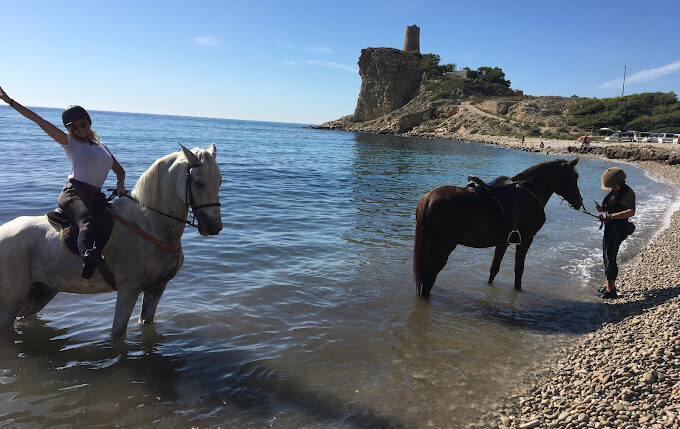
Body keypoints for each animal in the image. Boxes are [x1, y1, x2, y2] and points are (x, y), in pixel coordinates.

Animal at [0, 145, 223, 336]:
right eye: (198, 182)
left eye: (219, 181)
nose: (214, 227)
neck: (149, 223)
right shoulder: (128, 290)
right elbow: (117, 333)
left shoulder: (157, 288)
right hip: (11, 300)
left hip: (41, 291)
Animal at [414, 159, 584, 296]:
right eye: (574, 177)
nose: (579, 201)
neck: (530, 191)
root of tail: (429, 198)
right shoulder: (526, 239)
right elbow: (518, 269)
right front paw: (517, 290)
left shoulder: (504, 241)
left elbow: (494, 269)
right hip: (442, 248)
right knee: (429, 279)